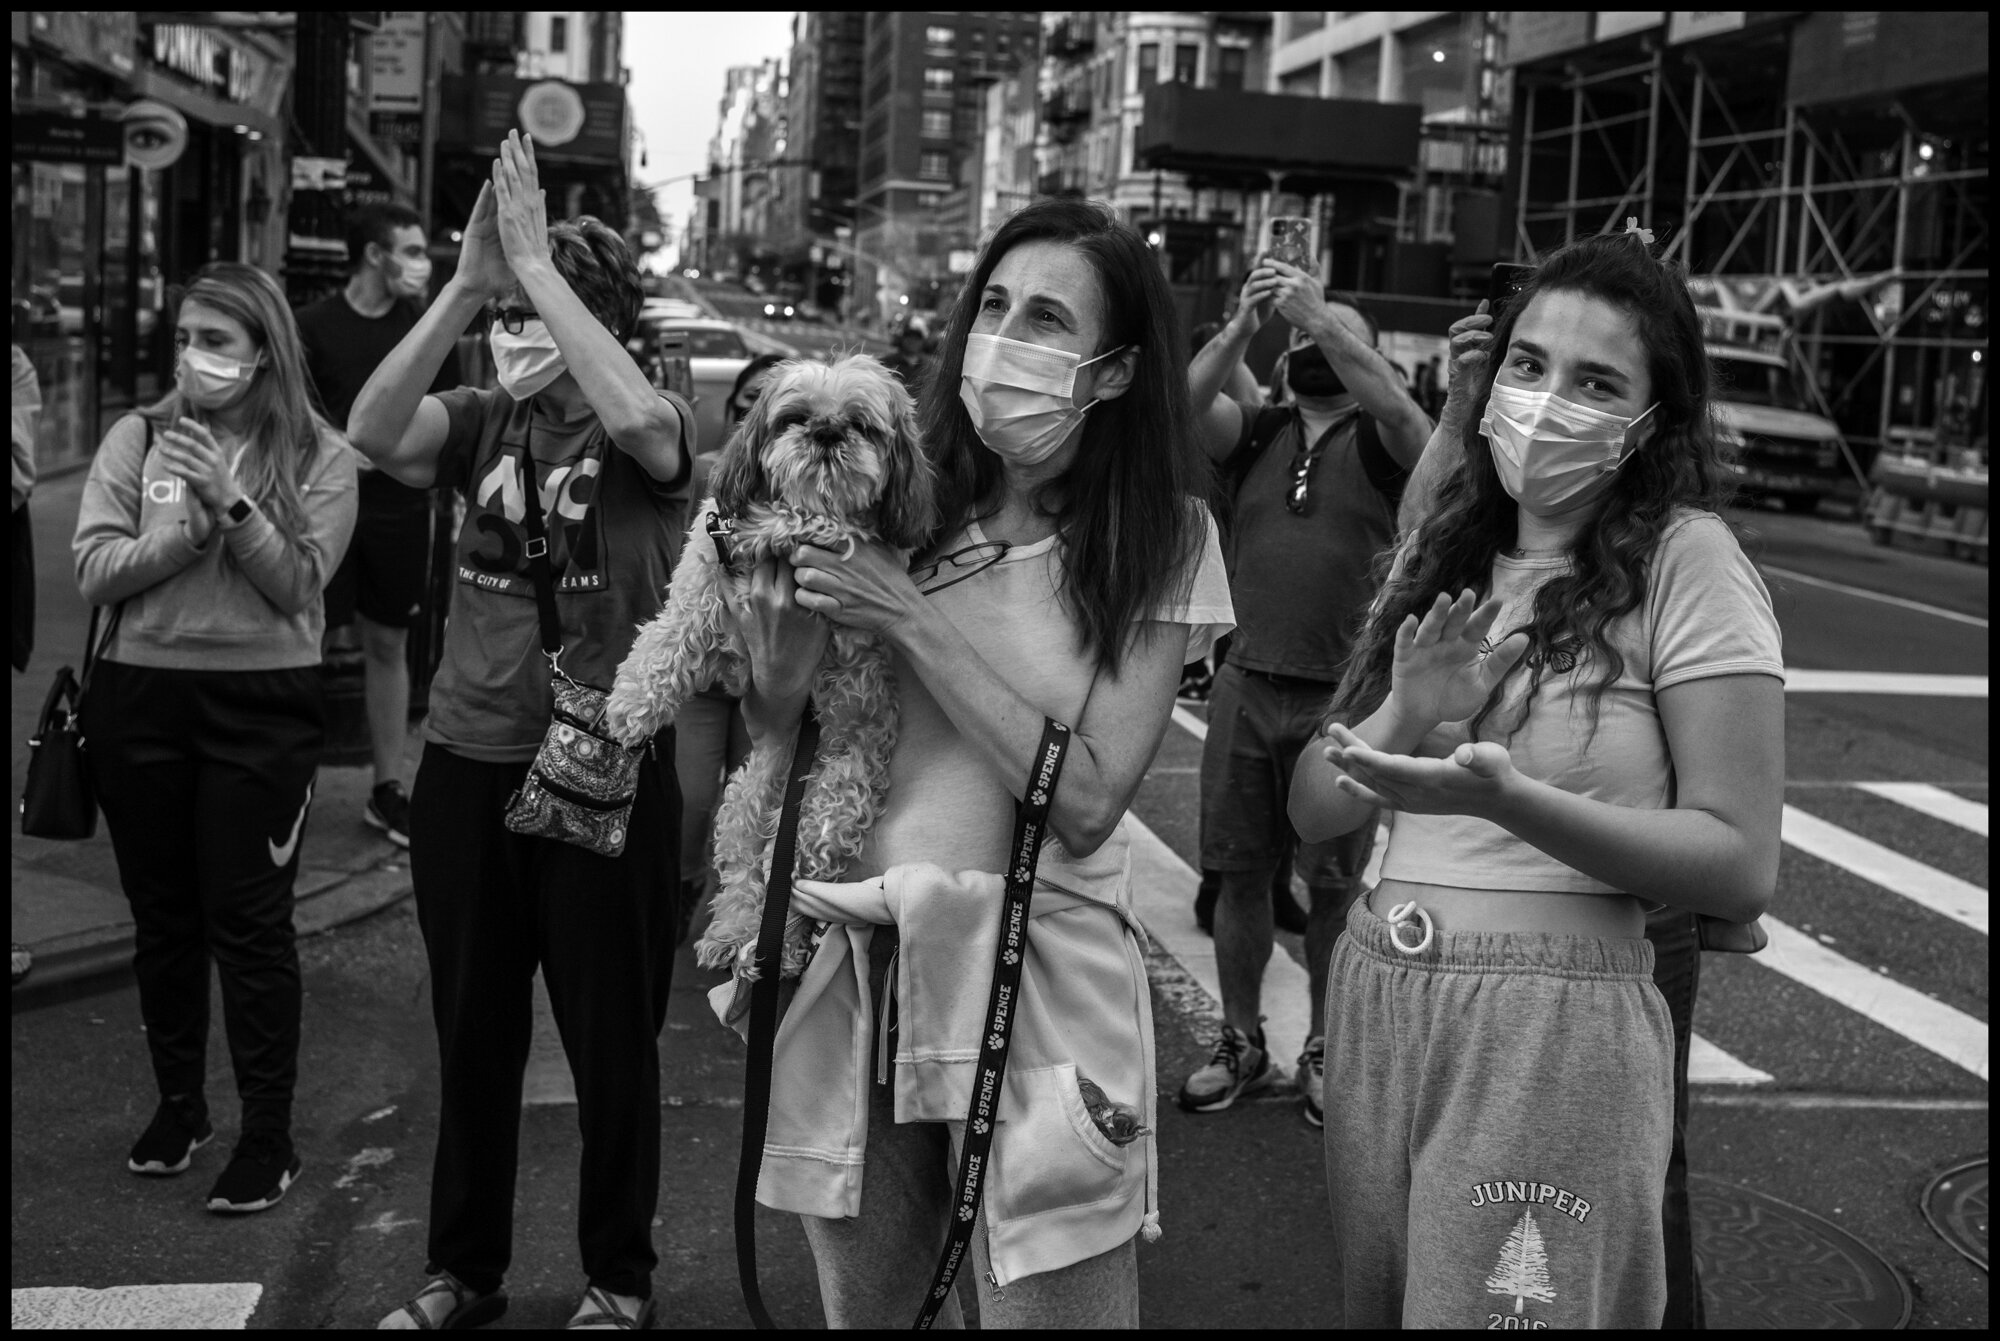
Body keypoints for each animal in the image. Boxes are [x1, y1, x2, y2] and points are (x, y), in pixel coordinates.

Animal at [600, 354, 936, 988]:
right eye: (795, 417)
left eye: (861, 424)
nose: (826, 432)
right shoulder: (713, 609)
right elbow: (668, 638)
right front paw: (633, 707)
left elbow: (806, 524)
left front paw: (779, 525)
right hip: (744, 802)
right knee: (743, 878)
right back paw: (730, 936)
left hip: (830, 806)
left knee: (793, 891)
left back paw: (776, 947)